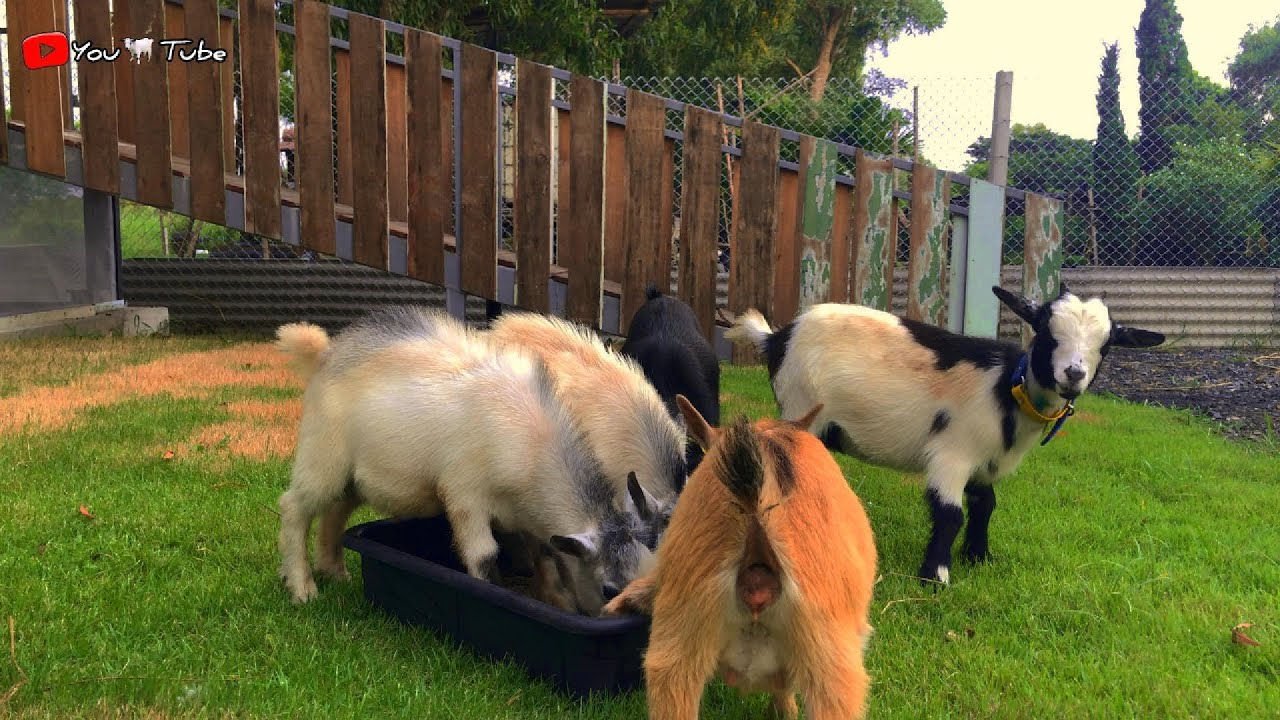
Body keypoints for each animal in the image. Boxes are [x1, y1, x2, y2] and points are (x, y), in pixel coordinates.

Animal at [274, 306, 655, 614]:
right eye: (609, 589)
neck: (533, 450)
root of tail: (326, 355)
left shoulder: (528, 517)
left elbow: (544, 556)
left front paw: (557, 602)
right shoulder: (465, 499)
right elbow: (484, 556)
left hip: (356, 477)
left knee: (335, 512)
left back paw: (334, 570)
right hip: (323, 458)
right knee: (295, 507)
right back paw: (303, 587)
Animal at [725, 283, 1165, 586]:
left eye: (1106, 345)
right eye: (1044, 331)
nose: (1073, 374)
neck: (1006, 390)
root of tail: (777, 338)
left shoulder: (984, 461)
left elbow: (986, 505)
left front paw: (979, 556)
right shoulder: (952, 453)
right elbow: (950, 513)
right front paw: (935, 576)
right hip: (800, 406)